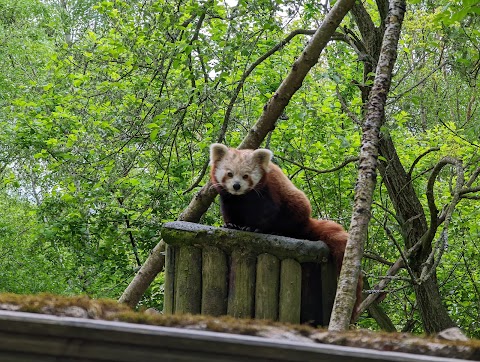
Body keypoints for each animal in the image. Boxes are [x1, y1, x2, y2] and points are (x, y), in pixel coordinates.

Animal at [210, 143, 364, 320]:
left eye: (245, 176)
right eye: (229, 174)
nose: (236, 186)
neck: (243, 197)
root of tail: (305, 222)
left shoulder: (269, 191)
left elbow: (268, 213)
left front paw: (254, 227)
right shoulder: (229, 199)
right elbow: (229, 211)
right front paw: (231, 225)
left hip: (295, 205)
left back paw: (277, 231)